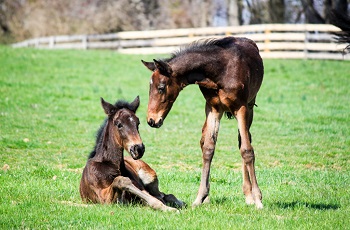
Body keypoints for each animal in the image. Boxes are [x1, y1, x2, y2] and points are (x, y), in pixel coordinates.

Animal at [141, 36, 264, 208]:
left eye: (161, 87)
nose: (152, 120)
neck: (220, 72)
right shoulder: (214, 108)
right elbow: (208, 148)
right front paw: (200, 197)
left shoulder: (241, 107)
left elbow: (246, 150)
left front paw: (258, 199)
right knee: (203, 141)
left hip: (250, 106)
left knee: (244, 141)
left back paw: (249, 195)